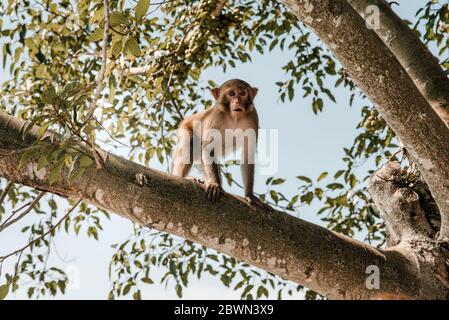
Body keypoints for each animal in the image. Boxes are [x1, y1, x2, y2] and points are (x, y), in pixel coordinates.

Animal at [171, 79, 270, 211]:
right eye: (232, 94)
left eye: (243, 94)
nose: (237, 101)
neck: (234, 118)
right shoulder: (216, 116)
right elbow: (209, 147)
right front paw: (215, 184)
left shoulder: (253, 117)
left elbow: (248, 153)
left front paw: (250, 196)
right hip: (184, 128)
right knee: (190, 141)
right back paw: (183, 177)